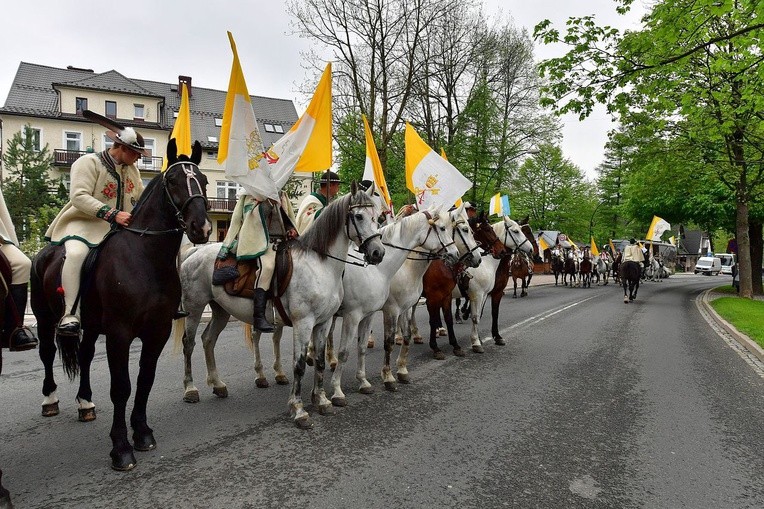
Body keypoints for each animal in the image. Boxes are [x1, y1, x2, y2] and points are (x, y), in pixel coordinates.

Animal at [30, 138, 212, 468]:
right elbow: (121, 388)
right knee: (47, 353)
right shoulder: (119, 334)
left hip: (89, 326)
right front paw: (121, 447)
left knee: (86, 355)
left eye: (203, 180)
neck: (145, 258)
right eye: (173, 180)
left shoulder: (157, 332)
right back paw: (50, 400)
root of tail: (43, 253)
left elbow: (145, 381)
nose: (201, 229)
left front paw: (142, 433)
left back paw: (85, 403)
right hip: (45, 318)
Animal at [175, 184, 384, 428]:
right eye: (359, 216)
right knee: (189, 344)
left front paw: (322, 400)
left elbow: (320, 361)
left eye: (377, 217)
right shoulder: (304, 323)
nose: (378, 252)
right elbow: (299, 365)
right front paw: (299, 409)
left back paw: (218, 384)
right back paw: (190, 389)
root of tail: (195, 251)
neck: (319, 265)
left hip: (220, 311)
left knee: (208, 340)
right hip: (195, 309)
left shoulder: (323, 323)